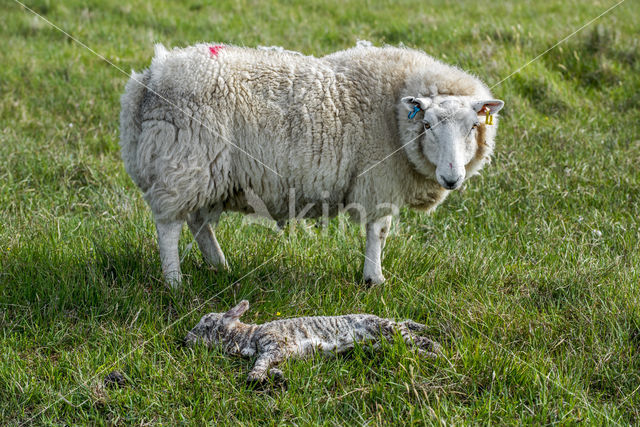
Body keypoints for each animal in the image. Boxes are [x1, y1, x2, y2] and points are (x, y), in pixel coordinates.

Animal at [117, 41, 502, 288]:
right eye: (428, 125)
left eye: (473, 126)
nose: (452, 178)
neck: (393, 114)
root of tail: (149, 77)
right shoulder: (379, 181)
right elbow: (379, 231)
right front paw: (374, 279)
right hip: (183, 162)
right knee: (169, 225)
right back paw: (174, 282)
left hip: (209, 172)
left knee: (197, 221)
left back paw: (219, 266)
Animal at [182, 300, 438, 386]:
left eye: (204, 325)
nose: (184, 340)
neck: (249, 336)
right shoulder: (281, 353)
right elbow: (270, 366)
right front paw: (276, 376)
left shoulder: (276, 344)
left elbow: (260, 363)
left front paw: (256, 377)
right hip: (381, 341)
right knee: (403, 336)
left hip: (385, 329)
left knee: (412, 337)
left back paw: (436, 350)